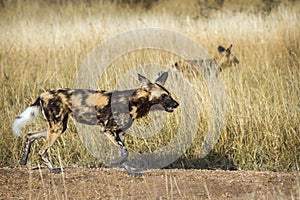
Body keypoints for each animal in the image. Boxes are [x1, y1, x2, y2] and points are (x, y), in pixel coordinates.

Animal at [12, 72, 178, 175]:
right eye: (164, 96)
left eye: (169, 95)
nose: (176, 104)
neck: (134, 101)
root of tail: (43, 94)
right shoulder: (107, 129)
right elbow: (125, 152)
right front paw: (117, 163)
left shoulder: (120, 133)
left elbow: (124, 154)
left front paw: (128, 170)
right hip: (56, 128)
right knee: (42, 151)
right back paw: (53, 169)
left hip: (57, 127)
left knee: (30, 135)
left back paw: (24, 159)